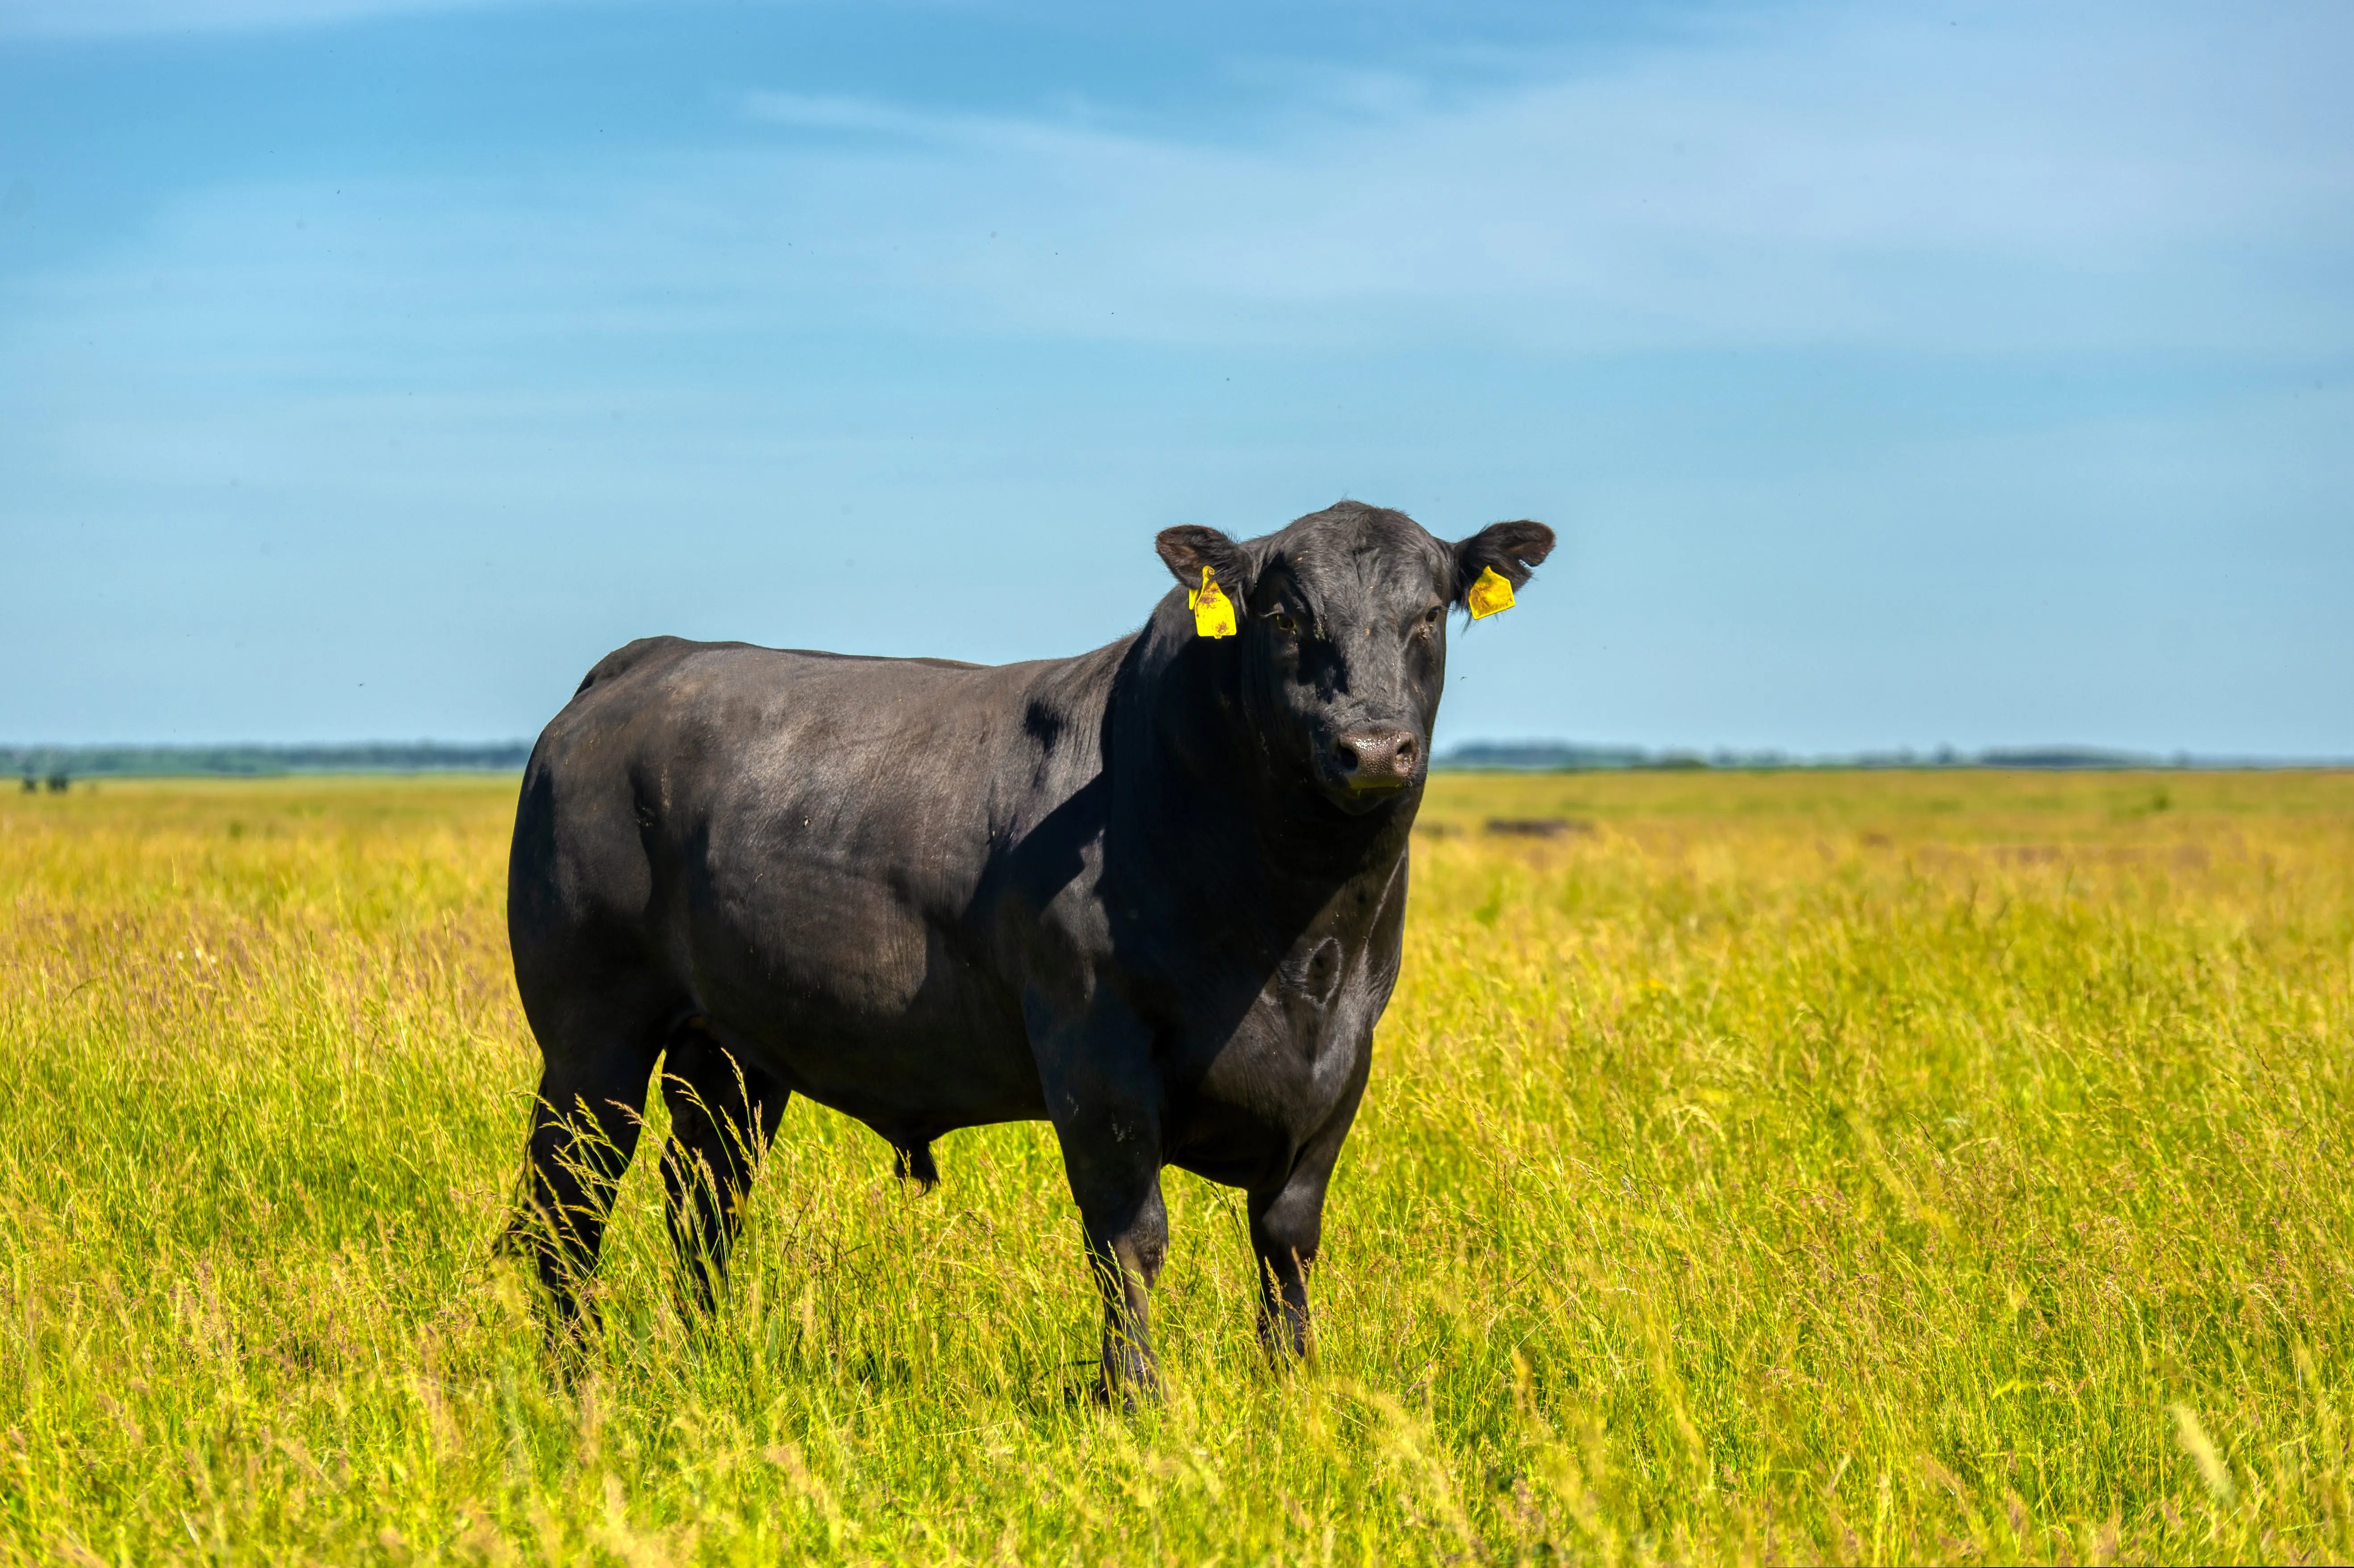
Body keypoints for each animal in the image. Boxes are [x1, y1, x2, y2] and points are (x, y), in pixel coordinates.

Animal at [502, 500, 1554, 1399]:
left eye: (1427, 614)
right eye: (1287, 614)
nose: (1371, 748)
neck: (1299, 941)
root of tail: (649, 659)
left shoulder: (1343, 1062)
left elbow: (1288, 1238)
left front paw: (1291, 1387)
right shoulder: (1095, 1052)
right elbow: (1130, 1238)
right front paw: (1133, 1397)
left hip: (729, 1050)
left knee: (705, 1195)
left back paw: (704, 1354)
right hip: (592, 1032)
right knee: (569, 1200)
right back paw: (570, 1380)